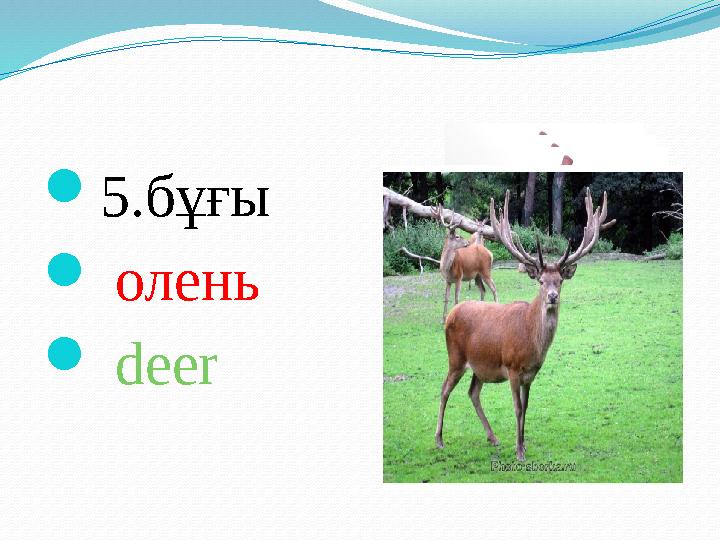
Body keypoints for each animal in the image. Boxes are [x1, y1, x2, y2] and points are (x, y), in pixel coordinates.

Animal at [435, 188, 615, 461]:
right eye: (541, 281)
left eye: (560, 280)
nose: (552, 296)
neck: (531, 342)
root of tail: (452, 315)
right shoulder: (512, 367)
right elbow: (518, 408)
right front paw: (519, 450)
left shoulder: (531, 373)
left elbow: (527, 407)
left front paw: (523, 443)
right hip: (455, 358)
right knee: (445, 389)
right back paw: (439, 439)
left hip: (479, 365)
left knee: (473, 393)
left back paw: (493, 437)